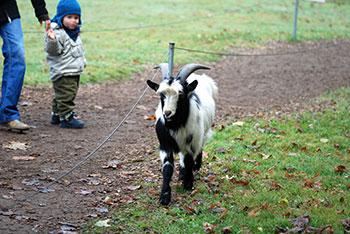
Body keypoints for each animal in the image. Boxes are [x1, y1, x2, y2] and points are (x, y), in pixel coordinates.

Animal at [146, 63, 217, 204]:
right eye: (161, 94)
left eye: (181, 94)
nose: (167, 113)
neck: (176, 125)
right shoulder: (165, 145)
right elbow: (168, 168)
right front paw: (164, 196)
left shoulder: (192, 142)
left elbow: (189, 160)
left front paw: (188, 184)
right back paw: (181, 174)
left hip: (202, 133)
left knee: (198, 149)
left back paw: (195, 168)